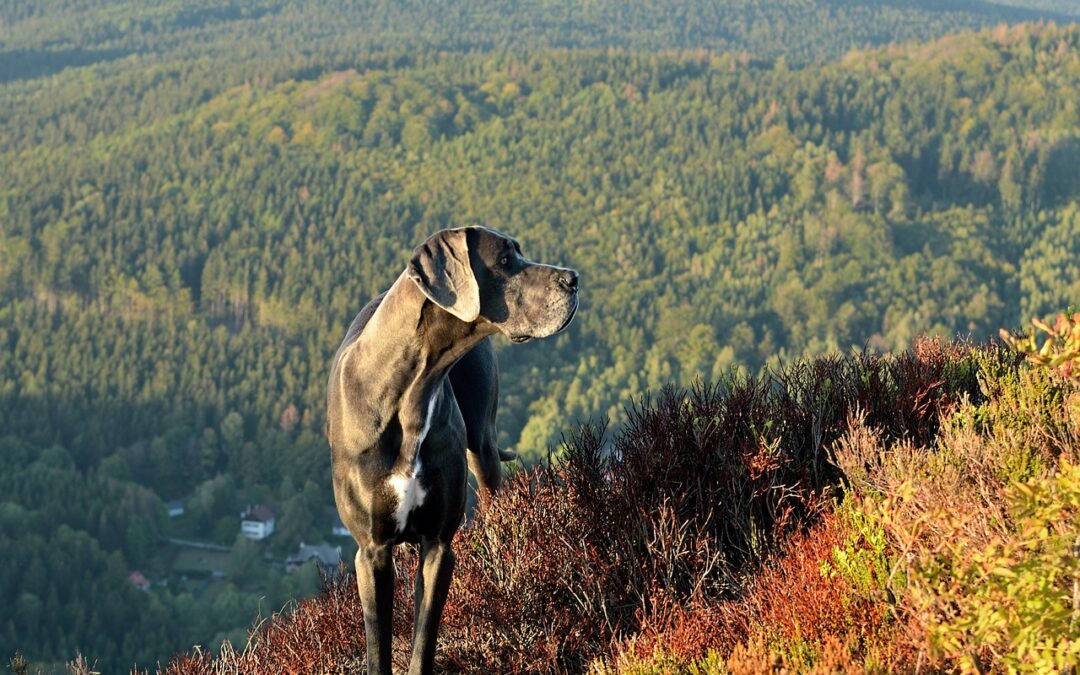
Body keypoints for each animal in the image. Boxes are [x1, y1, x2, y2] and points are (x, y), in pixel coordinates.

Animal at [324, 227, 578, 673]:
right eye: (506, 260)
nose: (574, 279)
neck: (411, 390)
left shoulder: (439, 545)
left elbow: (424, 638)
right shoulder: (372, 551)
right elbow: (378, 644)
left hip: (483, 447)